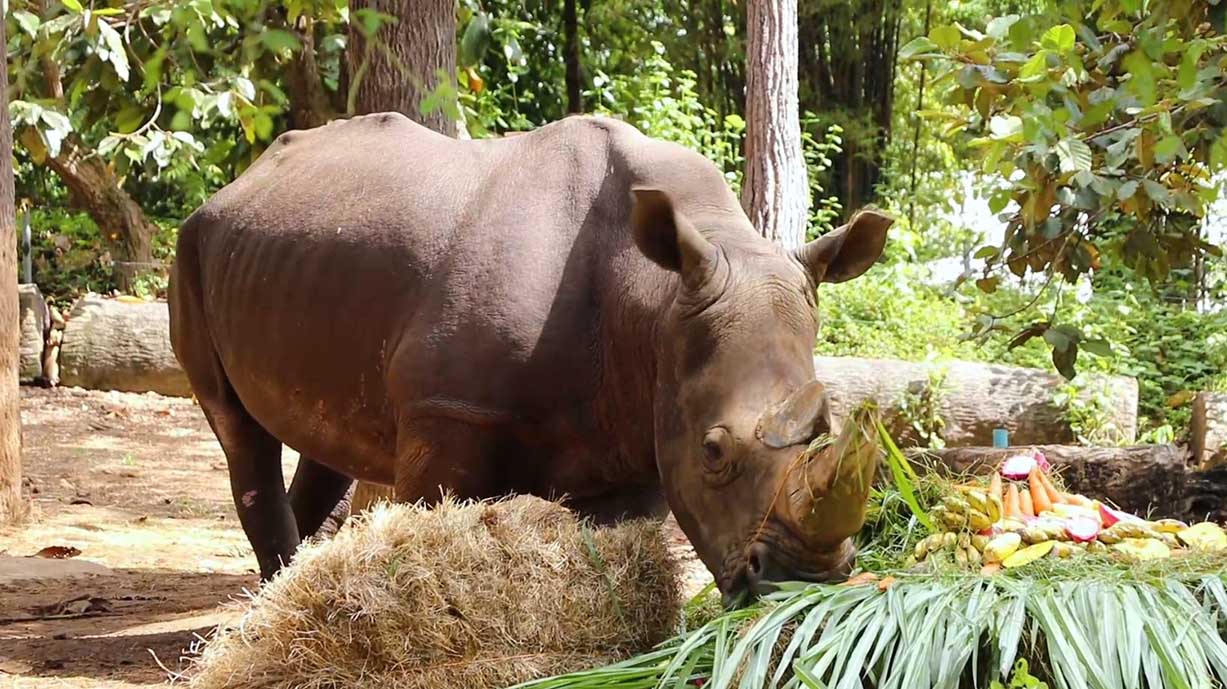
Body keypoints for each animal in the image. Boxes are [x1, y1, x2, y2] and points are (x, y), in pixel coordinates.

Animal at [169, 113, 892, 604]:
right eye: (714, 452)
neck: (656, 299)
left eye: (829, 431)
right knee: (237, 428)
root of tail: (241, 181)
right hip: (192, 246)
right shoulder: (451, 412)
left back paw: (288, 587)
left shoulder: (636, 428)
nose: (807, 582)